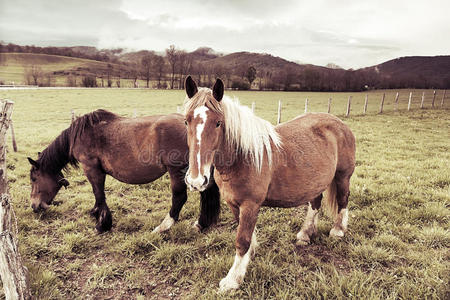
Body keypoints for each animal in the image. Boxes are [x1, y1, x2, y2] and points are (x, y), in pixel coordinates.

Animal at [26, 109, 220, 233]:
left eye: (34, 179)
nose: (34, 206)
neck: (82, 134)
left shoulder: (92, 169)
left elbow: (99, 194)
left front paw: (102, 224)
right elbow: (98, 196)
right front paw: (96, 213)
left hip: (176, 171)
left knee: (179, 197)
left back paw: (163, 227)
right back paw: (202, 224)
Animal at [183, 76, 356, 292]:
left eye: (218, 123)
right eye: (186, 120)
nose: (196, 180)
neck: (243, 157)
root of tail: (340, 124)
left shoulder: (250, 205)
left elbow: (242, 240)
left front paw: (233, 279)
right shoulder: (234, 204)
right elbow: (246, 235)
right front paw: (248, 258)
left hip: (342, 177)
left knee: (342, 200)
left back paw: (338, 231)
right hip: (316, 181)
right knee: (315, 203)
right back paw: (305, 234)